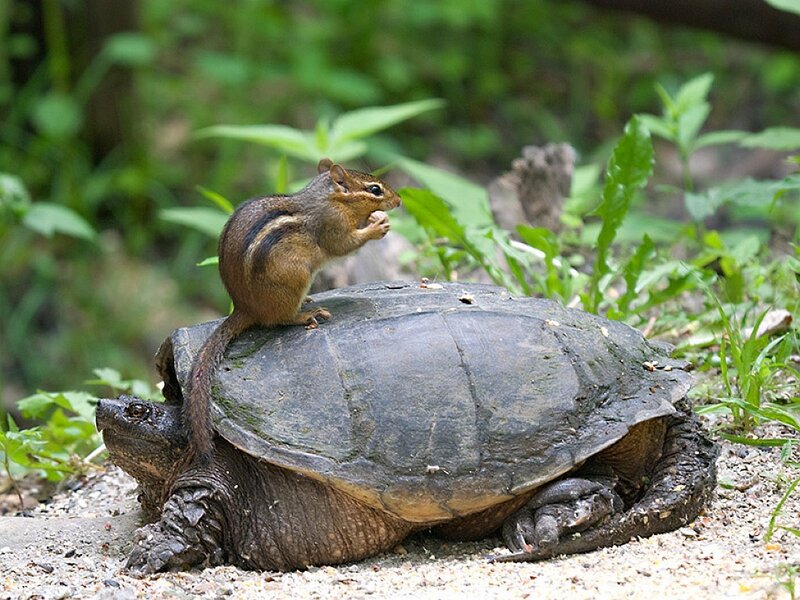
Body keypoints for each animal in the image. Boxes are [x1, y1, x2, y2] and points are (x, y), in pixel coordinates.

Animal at [182, 158, 401, 466]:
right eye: (375, 190)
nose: (400, 200)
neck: (328, 198)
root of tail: (244, 307)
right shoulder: (333, 225)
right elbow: (343, 245)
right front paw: (377, 226)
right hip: (296, 275)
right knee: (278, 320)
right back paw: (305, 314)